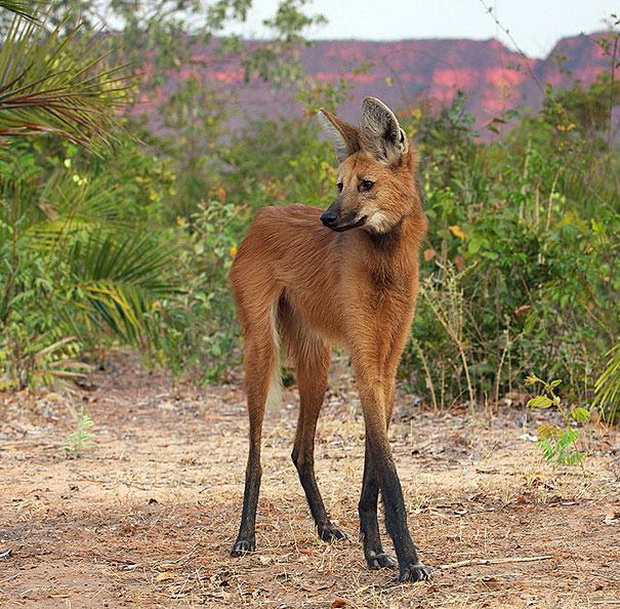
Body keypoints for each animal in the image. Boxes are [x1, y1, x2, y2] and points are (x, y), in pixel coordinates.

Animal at [229, 97, 432, 580]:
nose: (327, 217)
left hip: (316, 365)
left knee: (300, 451)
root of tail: (261, 215)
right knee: (254, 454)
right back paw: (245, 536)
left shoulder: (387, 364)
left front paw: (376, 551)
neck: (385, 261)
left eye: (366, 185)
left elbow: (374, 466)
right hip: (262, 349)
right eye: (339, 185)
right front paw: (408, 560)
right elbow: (389, 472)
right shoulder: (364, 358)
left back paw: (325, 526)